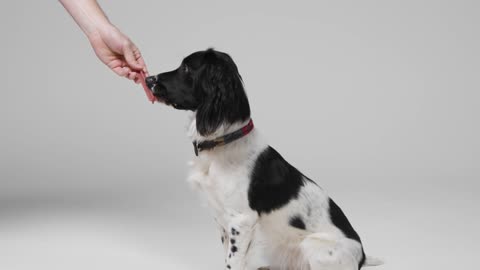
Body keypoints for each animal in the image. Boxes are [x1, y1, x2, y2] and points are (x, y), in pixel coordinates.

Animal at [144, 49, 380, 270]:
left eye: (186, 68)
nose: (148, 79)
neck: (223, 143)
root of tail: (362, 255)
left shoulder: (241, 220)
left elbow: (233, 261)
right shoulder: (222, 218)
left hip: (313, 245)